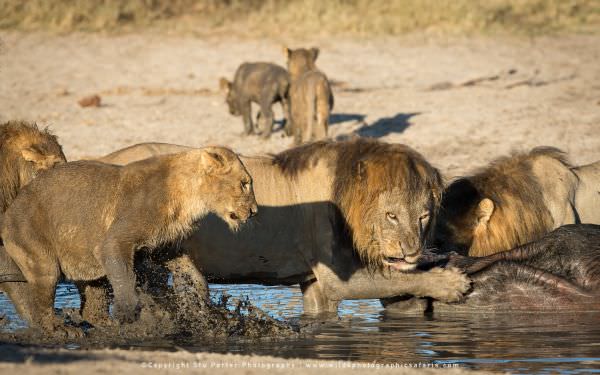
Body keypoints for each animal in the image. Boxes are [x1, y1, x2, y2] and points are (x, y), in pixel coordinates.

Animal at [91, 140, 472, 316]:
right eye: (391, 216)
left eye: (423, 217)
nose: (411, 252)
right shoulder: (337, 277)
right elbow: (404, 278)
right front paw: (451, 282)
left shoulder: (314, 282)